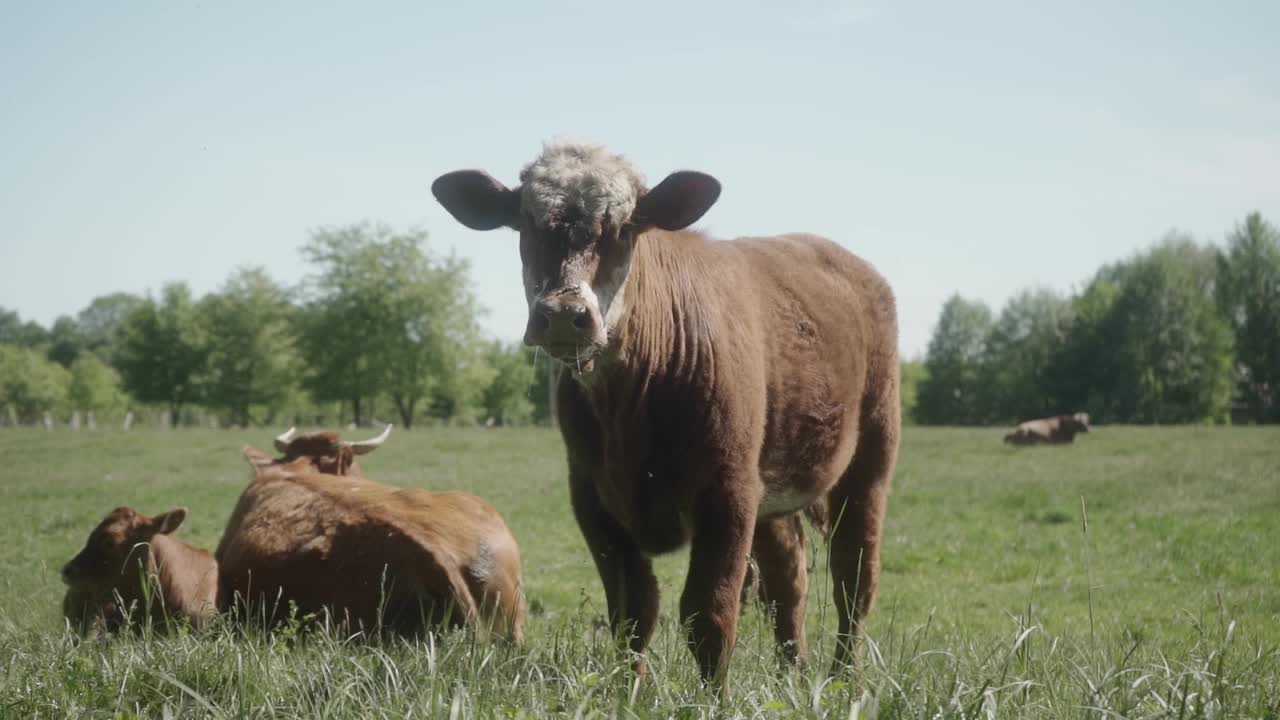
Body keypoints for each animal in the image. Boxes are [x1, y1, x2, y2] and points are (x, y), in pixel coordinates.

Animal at [430, 141, 901, 681]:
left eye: (624, 228)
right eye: (525, 224)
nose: (565, 315)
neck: (628, 411)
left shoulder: (727, 492)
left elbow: (709, 615)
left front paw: (714, 695)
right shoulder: (593, 499)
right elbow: (633, 613)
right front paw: (627, 690)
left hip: (870, 459)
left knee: (855, 574)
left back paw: (845, 676)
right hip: (771, 483)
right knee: (789, 578)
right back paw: (794, 672)